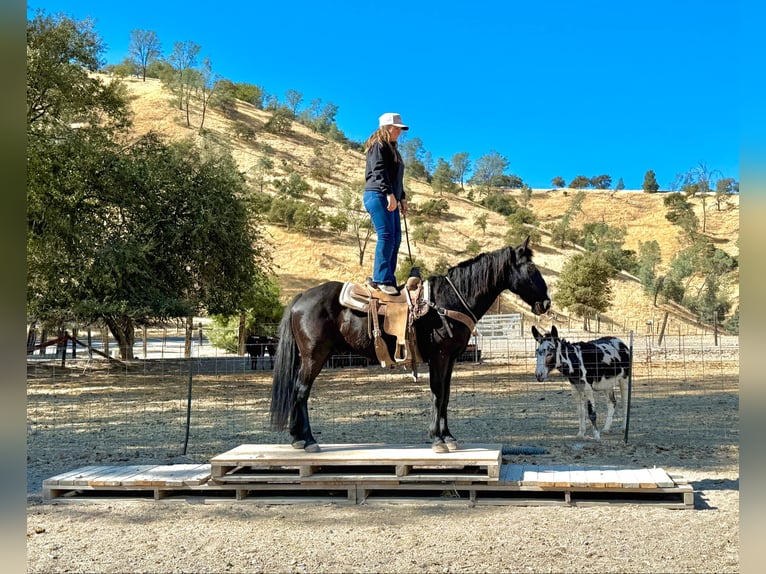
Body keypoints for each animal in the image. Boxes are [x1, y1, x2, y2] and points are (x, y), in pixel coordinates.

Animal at [269, 237, 551, 453]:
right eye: (531, 270)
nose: (546, 303)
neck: (449, 300)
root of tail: (301, 298)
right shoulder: (439, 357)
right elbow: (438, 395)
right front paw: (437, 439)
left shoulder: (451, 359)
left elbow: (446, 396)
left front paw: (448, 436)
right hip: (314, 356)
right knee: (301, 391)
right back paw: (307, 440)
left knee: (297, 390)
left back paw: (297, 438)